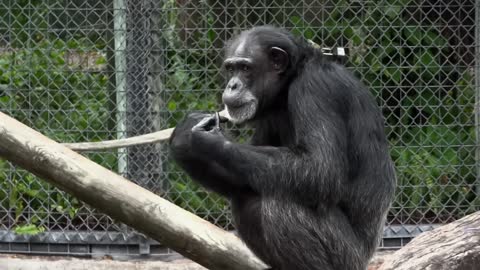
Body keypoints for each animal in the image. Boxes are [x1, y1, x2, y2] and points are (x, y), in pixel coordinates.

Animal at [169, 26, 394, 270]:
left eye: (245, 68)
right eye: (230, 68)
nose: (232, 85)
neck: (288, 85)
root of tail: (367, 256)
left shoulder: (316, 89)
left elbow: (321, 168)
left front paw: (206, 139)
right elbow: (242, 178)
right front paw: (182, 140)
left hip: (347, 255)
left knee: (279, 203)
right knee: (247, 197)